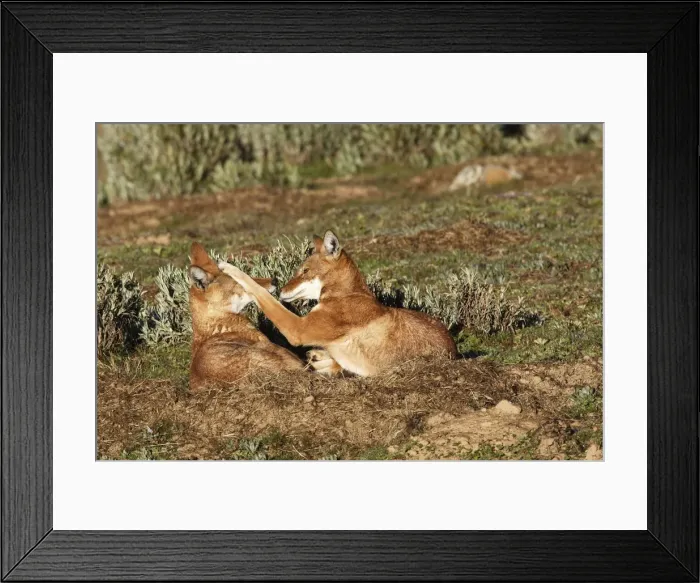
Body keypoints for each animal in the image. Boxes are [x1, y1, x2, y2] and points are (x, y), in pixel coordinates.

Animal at [218, 231, 457, 377]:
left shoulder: (297, 330)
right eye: (298, 271)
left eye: (305, 271)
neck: (345, 295)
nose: (280, 289)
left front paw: (228, 267)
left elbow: (255, 289)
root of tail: (454, 350)